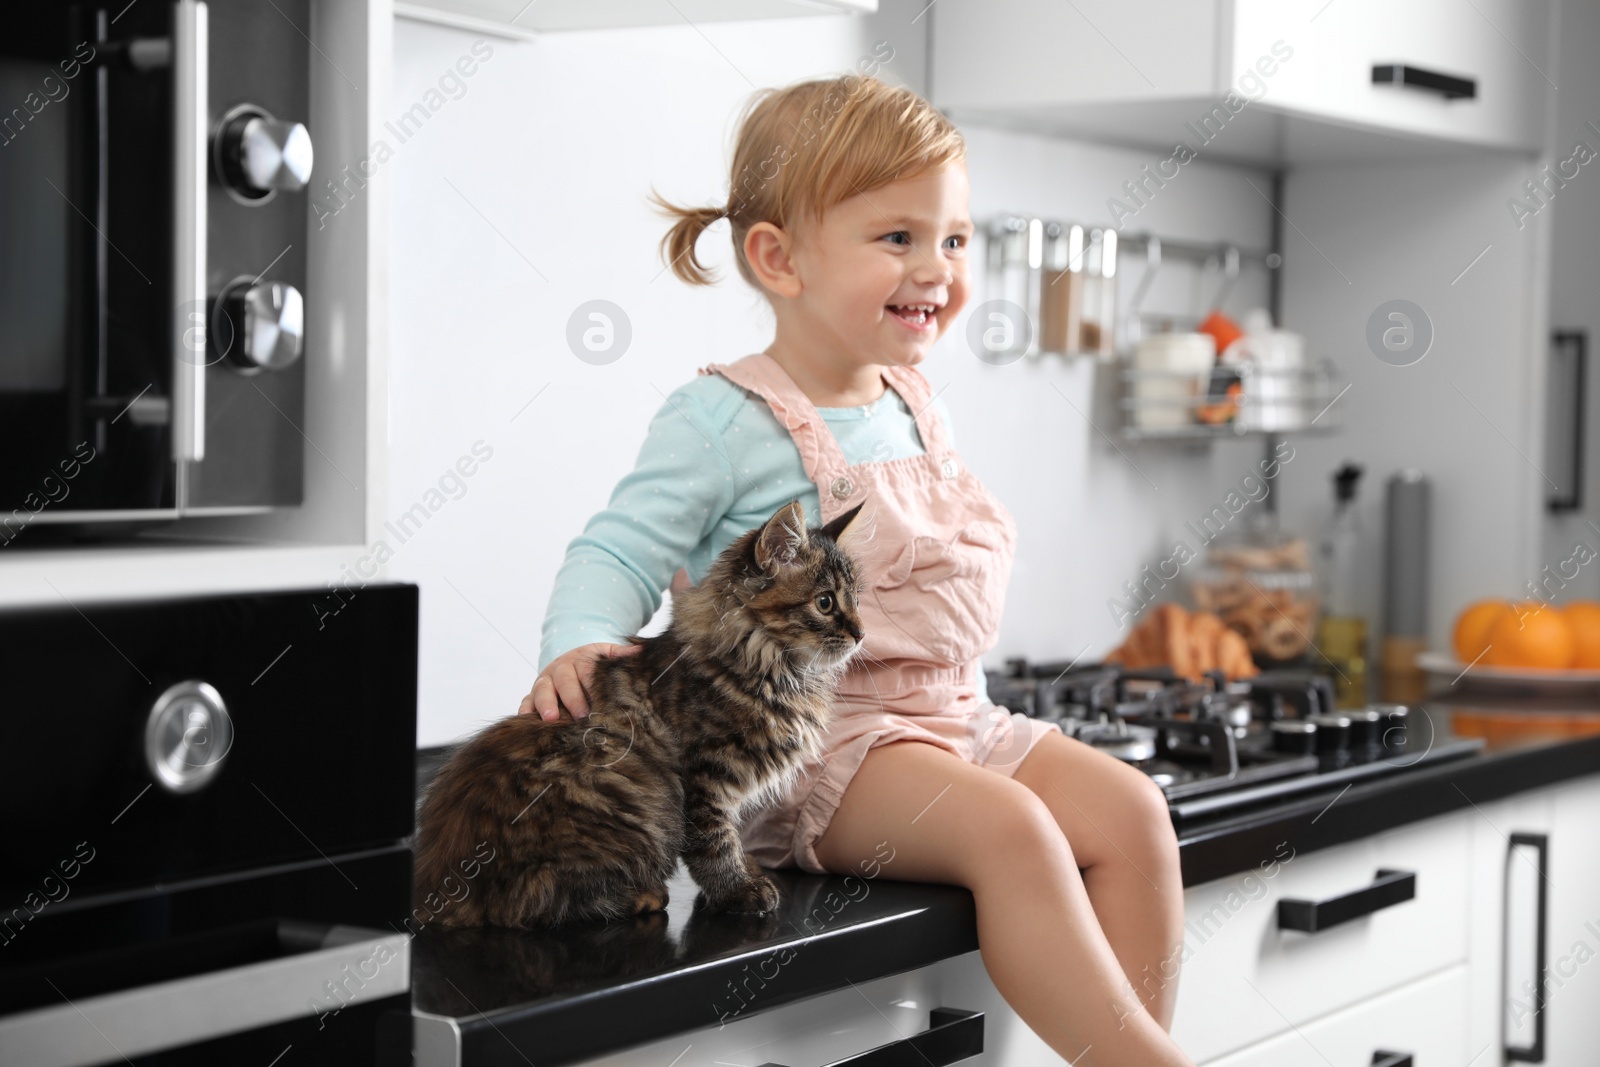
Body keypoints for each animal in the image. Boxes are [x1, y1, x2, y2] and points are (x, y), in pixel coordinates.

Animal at [412, 502, 864, 927]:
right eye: (825, 603)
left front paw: (748, 872)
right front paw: (739, 891)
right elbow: (714, 843)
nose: (861, 633)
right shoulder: (704, 776)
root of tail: (435, 888)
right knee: (536, 902)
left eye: (857, 601)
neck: (773, 666)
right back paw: (644, 895)